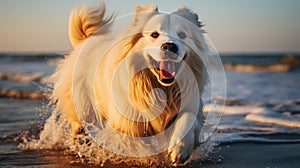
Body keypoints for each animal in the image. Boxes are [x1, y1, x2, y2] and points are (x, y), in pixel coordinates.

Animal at [51, 1, 209, 164]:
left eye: (182, 35)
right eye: (154, 34)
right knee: (78, 125)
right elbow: (139, 144)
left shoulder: (190, 104)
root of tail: (85, 40)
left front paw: (179, 149)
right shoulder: (128, 122)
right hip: (82, 106)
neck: (160, 88)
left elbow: (188, 118)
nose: (170, 46)